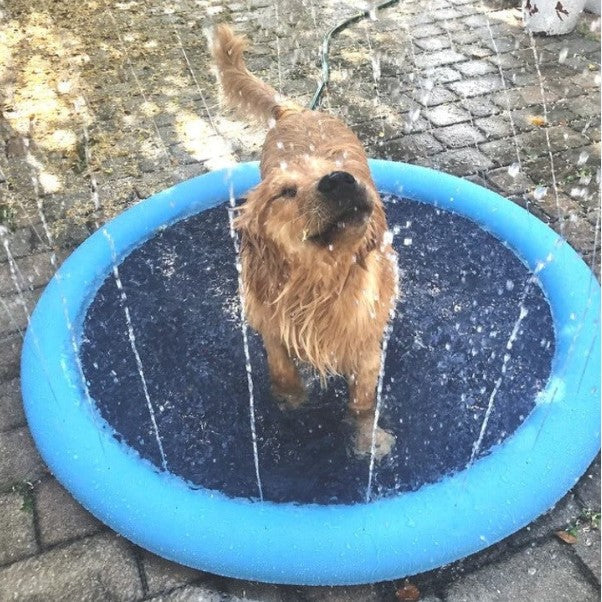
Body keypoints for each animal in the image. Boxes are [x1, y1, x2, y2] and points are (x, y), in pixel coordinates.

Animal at [212, 22, 398, 454]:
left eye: (344, 170)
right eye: (284, 192)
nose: (340, 180)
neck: (318, 283)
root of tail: (298, 110)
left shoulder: (366, 343)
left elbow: (363, 402)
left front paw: (367, 439)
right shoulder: (269, 321)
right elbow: (282, 368)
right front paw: (291, 402)